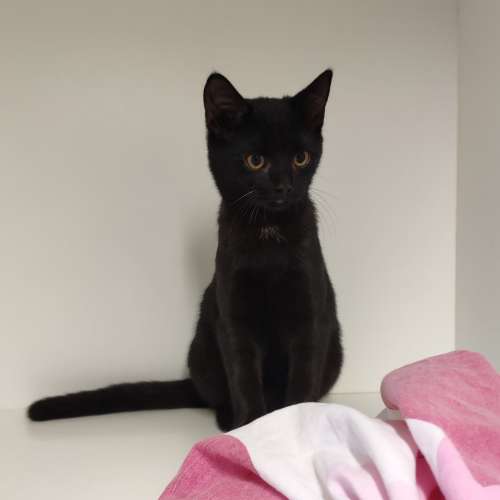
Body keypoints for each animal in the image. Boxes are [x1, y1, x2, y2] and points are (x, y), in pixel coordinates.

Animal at [28, 70, 343, 431]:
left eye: (300, 158)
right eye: (255, 161)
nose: (283, 187)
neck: (268, 235)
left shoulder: (311, 314)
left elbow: (303, 378)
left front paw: (297, 423)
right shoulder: (232, 317)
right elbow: (243, 377)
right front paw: (250, 426)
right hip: (203, 343)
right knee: (217, 394)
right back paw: (228, 418)